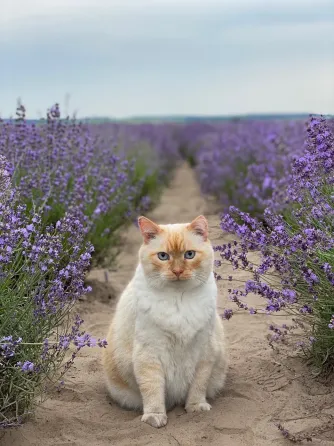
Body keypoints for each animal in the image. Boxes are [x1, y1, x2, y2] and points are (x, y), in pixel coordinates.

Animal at [101, 215, 227, 428]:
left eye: (189, 255)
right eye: (163, 256)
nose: (177, 271)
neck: (178, 298)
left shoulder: (204, 351)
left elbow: (198, 386)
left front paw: (196, 407)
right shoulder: (149, 354)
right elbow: (153, 390)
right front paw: (155, 417)